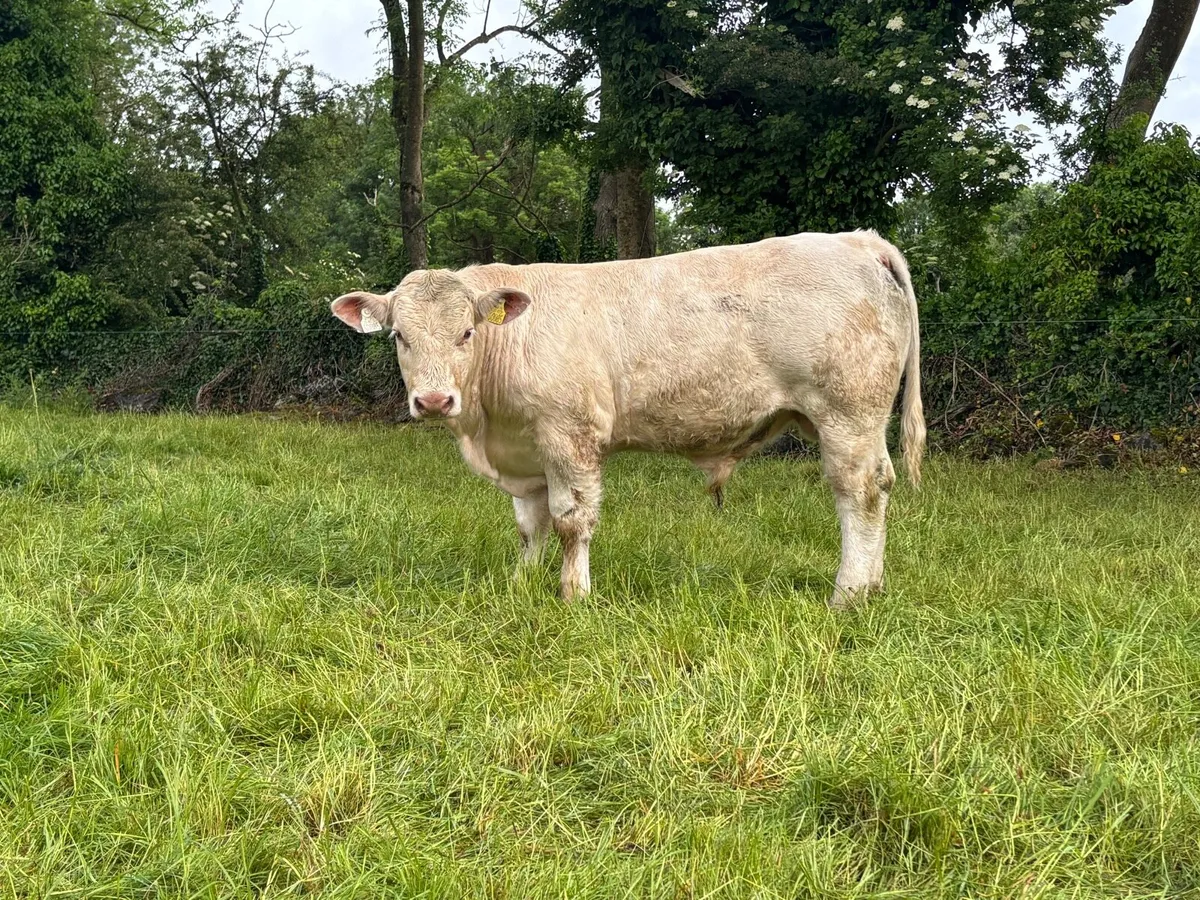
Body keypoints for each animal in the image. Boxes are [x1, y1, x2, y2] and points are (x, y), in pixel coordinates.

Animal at [331, 231, 925, 608]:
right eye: (400, 336)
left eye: (467, 333)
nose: (433, 401)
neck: (489, 428)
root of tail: (860, 239)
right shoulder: (526, 449)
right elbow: (529, 524)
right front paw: (521, 584)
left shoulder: (570, 434)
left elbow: (570, 520)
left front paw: (573, 594)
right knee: (882, 484)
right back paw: (873, 587)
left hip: (847, 413)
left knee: (860, 493)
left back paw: (848, 594)